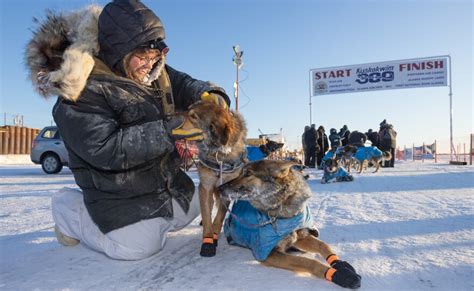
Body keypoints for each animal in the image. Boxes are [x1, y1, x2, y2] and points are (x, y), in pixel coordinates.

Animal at [185, 101, 248, 258]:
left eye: (193, 116)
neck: (219, 154)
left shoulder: (227, 188)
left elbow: (219, 217)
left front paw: (214, 234)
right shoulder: (205, 187)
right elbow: (207, 216)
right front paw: (208, 241)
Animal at [218, 160, 360, 290]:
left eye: (248, 173)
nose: (220, 188)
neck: (282, 209)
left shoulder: (299, 236)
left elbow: (323, 245)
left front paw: (341, 265)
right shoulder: (269, 253)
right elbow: (308, 261)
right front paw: (340, 276)